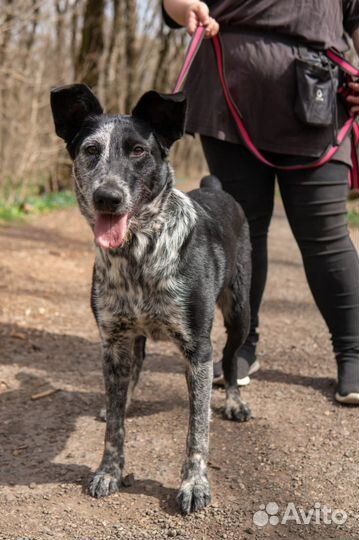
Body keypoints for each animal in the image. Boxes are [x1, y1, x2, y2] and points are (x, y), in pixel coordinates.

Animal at [50, 85, 253, 516]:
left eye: (139, 151)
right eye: (90, 150)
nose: (107, 197)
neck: (138, 255)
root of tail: (215, 188)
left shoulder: (197, 350)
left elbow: (197, 430)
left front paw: (194, 484)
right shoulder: (113, 341)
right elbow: (115, 426)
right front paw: (109, 471)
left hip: (240, 312)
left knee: (230, 359)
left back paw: (234, 402)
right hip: (132, 338)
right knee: (135, 370)